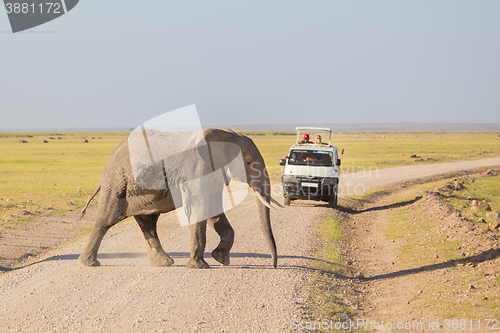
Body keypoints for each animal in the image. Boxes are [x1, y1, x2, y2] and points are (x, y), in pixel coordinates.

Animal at [78, 127, 282, 268]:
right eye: (248, 162)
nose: (274, 265)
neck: (228, 135)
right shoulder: (197, 169)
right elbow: (200, 209)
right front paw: (200, 267)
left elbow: (213, 211)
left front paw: (220, 260)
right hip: (117, 181)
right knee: (105, 221)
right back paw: (90, 264)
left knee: (148, 223)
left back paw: (164, 263)